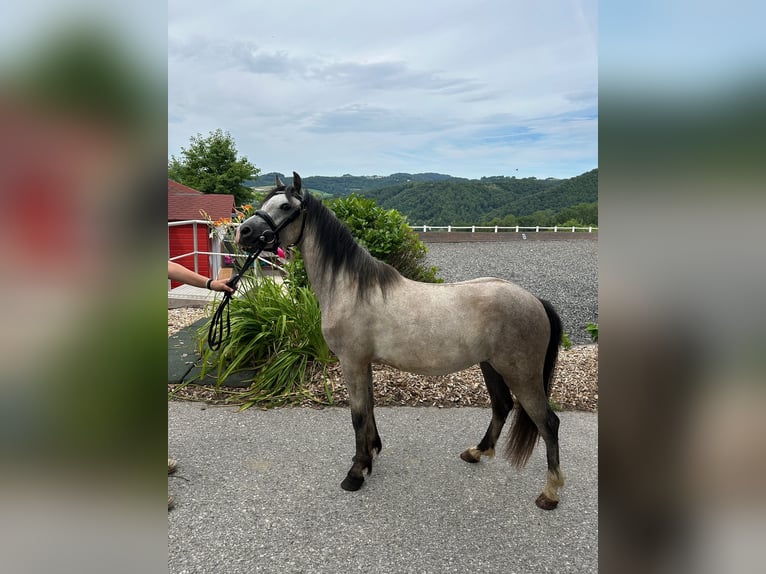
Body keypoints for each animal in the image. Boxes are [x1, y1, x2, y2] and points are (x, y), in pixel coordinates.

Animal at [236, 172, 565, 510]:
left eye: (286, 206)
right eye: (265, 202)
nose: (243, 232)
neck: (351, 289)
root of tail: (535, 300)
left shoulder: (352, 362)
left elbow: (357, 416)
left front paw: (355, 473)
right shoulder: (363, 364)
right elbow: (369, 409)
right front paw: (370, 454)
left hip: (521, 373)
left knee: (548, 422)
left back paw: (550, 493)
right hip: (491, 366)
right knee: (502, 407)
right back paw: (476, 452)